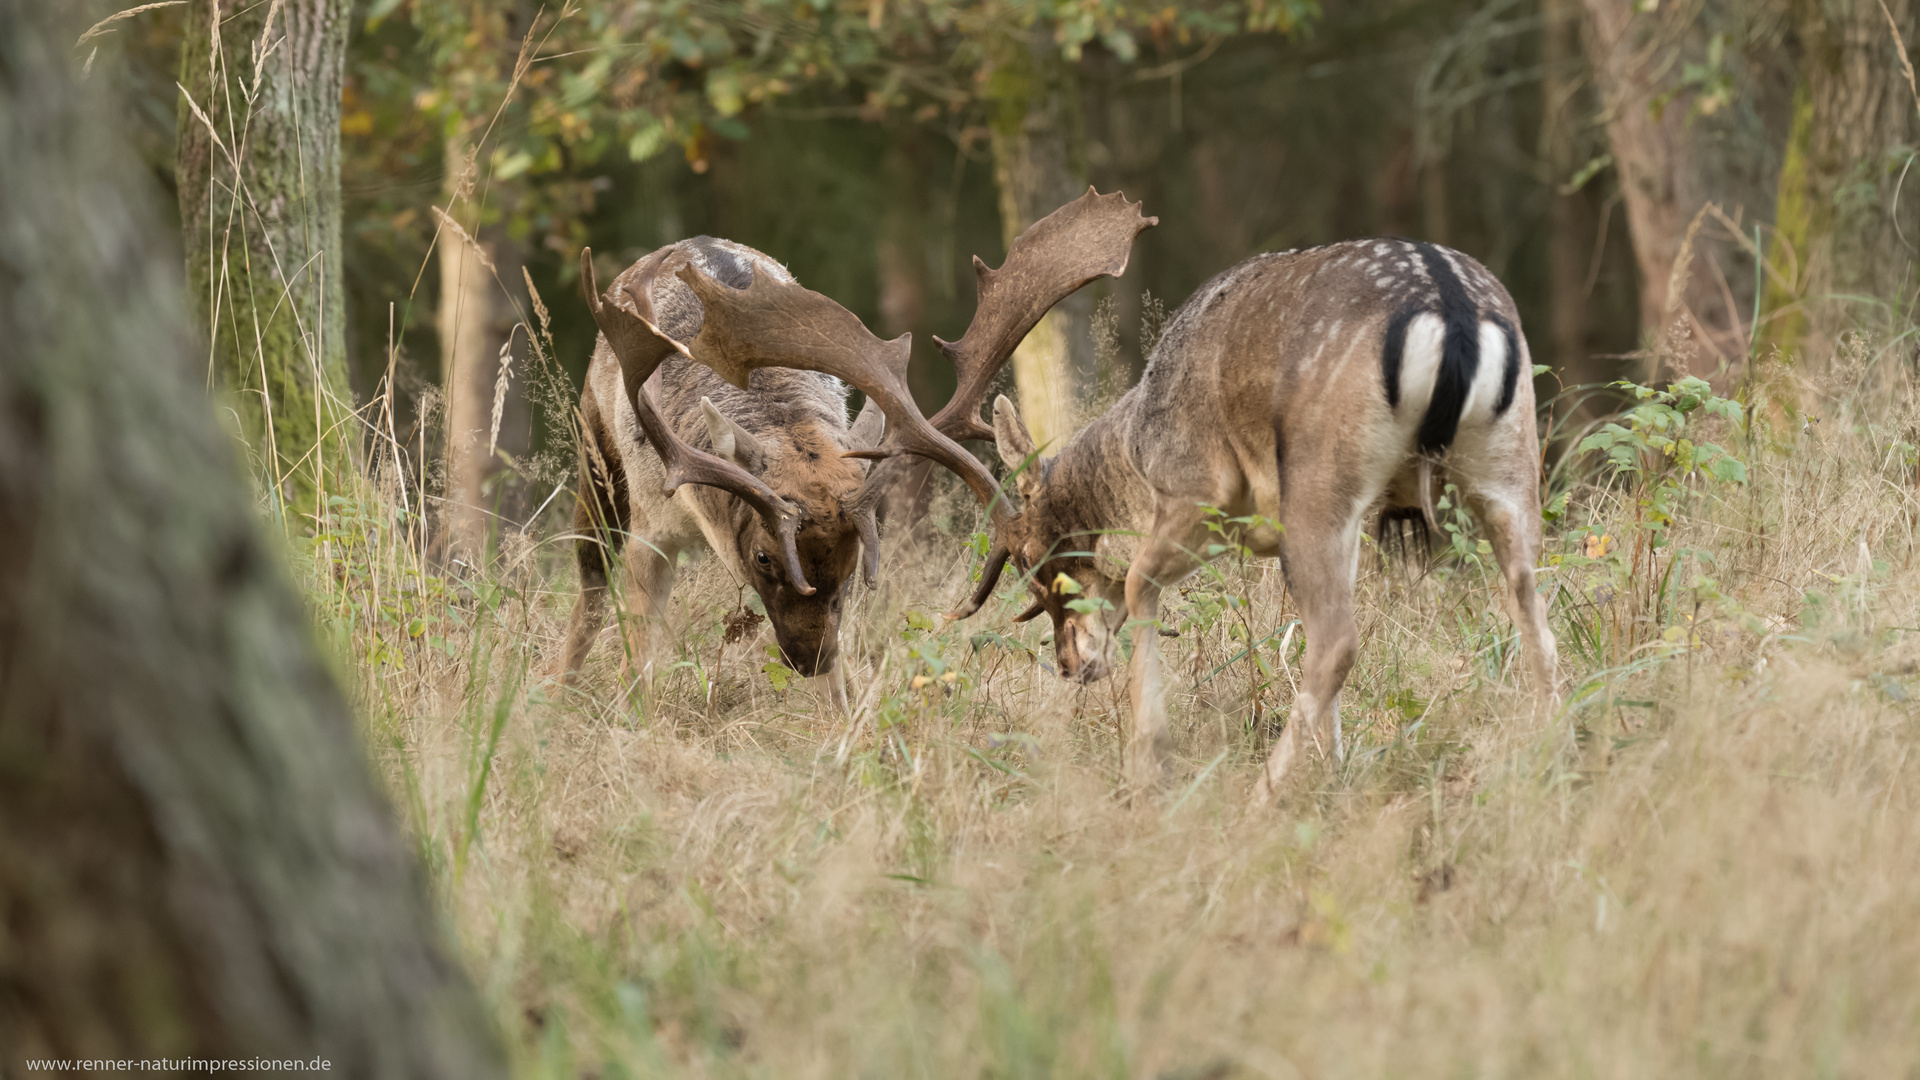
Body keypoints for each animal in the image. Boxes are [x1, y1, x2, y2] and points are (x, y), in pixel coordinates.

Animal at [556, 189, 1152, 703]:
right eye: (764, 555)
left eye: (854, 557)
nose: (809, 658)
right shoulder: (651, 528)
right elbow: (637, 657)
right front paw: (632, 717)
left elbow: (839, 687)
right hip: (596, 459)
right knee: (589, 589)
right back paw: (558, 691)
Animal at [975, 237, 1559, 799]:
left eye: (1030, 563)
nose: (1069, 664)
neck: (1139, 451)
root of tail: (1452, 310)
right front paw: (1335, 770)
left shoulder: (1199, 488)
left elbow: (1140, 581)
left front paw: (1151, 768)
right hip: (1508, 465)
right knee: (1532, 611)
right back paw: (1546, 754)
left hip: (1318, 479)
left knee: (1336, 641)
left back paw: (1261, 797)